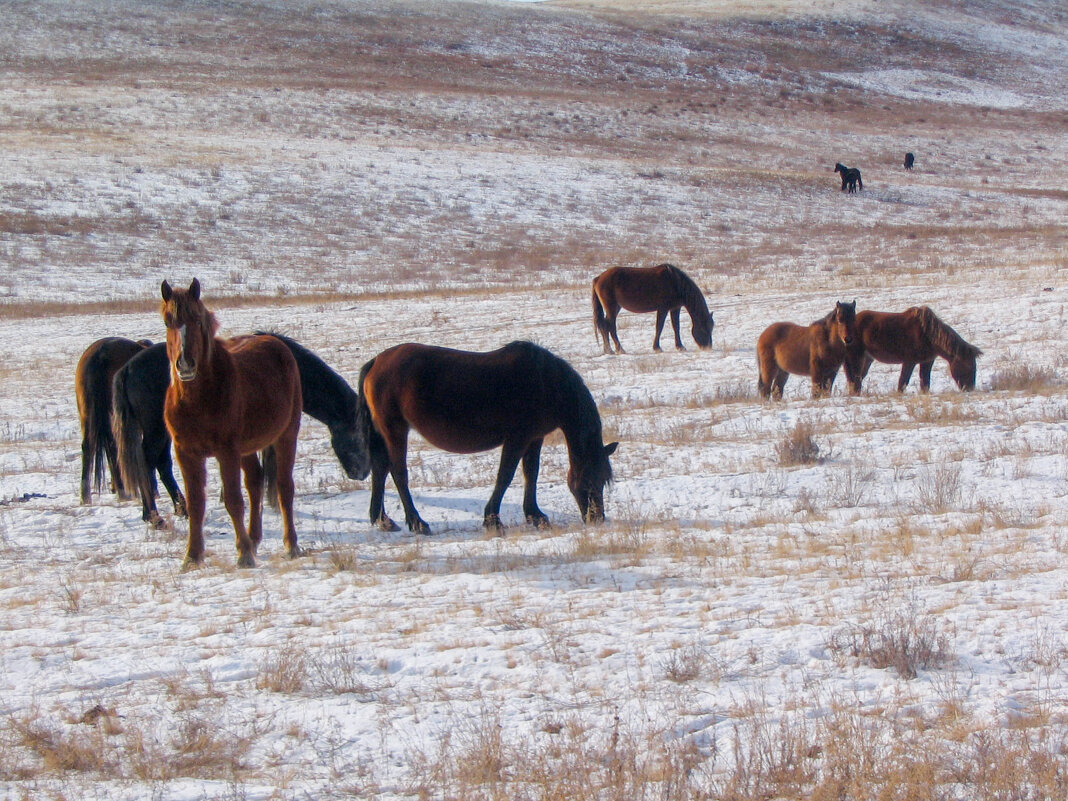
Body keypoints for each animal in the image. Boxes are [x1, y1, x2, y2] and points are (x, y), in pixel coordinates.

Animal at [113, 331, 371, 527]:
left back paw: (181, 509)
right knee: (148, 463)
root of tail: (127, 369)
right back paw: (153, 515)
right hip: (156, 429)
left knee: (162, 464)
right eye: (358, 435)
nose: (362, 473)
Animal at [158, 279, 303, 568]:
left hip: (286, 436)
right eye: (168, 321)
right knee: (255, 483)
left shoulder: (226, 452)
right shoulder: (186, 453)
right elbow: (195, 503)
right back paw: (254, 539)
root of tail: (276, 343)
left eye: (197, 320)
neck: (197, 400)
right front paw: (192, 555)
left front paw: (243, 553)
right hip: (246, 449)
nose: (185, 364)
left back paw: (290, 544)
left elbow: (234, 501)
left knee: (284, 487)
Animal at [356, 341, 619, 536]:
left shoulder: (534, 439)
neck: (546, 383)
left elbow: (531, 473)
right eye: (592, 478)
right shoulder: (517, 439)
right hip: (395, 430)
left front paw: (535, 515)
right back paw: (417, 522)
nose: (597, 517)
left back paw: (383, 520)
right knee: (398, 473)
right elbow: (505, 476)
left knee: (380, 469)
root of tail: (376, 362)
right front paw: (493, 520)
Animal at [845, 307, 978, 395]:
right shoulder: (909, 361)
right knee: (855, 378)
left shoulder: (927, 361)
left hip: (867, 359)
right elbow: (903, 381)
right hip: (857, 357)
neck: (927, 334)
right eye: (968, 366)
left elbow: (925, 381)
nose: (970, 389)